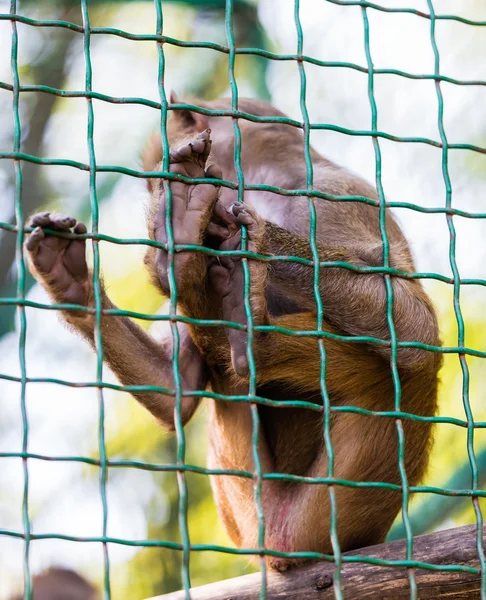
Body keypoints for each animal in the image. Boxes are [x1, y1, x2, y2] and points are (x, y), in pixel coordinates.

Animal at [26, 94, 442, 572]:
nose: (157, 197)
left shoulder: (338, 198)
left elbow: (414, 327)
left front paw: (246, 232)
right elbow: (175, 391)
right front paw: (69, 279)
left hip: (341, 503)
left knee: (408, 366)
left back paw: (250, 336)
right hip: (247, 507)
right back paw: (198, 283)